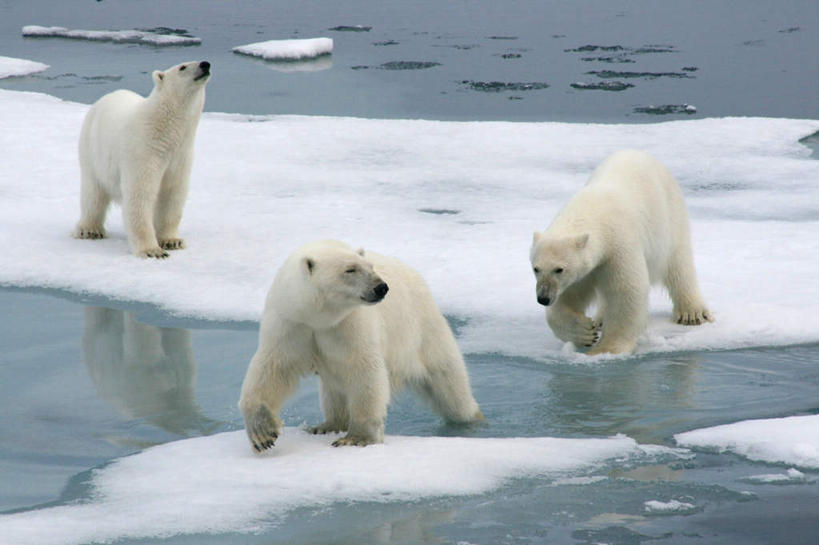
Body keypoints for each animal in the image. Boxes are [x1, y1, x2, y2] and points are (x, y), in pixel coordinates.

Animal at [73, 60, 211, 256]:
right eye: (182, 67)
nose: (206, 64)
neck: (164, 132)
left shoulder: (180, 156)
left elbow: (173, 194)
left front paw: (172, 241)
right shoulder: (143, 151)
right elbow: (140, 194)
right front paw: (153, 251)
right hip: (92, 151)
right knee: (93, 193)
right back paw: (90, 229)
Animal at [239, 239, 480, 450]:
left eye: (370, 266)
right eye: (350, 270)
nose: (381, 287)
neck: (319, 316)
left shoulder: (349, 323)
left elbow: (363, 369)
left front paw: (356, 438)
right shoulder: (291, 321)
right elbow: (274, 367)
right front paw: (262, 433)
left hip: (422, 329)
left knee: (450, 386)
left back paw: (473, 417)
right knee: (333, 388)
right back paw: (326, 425)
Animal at [532, 149, 712, 354]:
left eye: (559, 269)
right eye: (536, 268)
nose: (543, 298)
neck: (594, 211)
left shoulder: (618, 244)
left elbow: (626, 292)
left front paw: (606, 348)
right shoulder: (586, 268)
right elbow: (569, 296)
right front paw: (584, 332)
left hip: (670, 218)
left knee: (679, 263)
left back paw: (691, 313)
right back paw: (600, 318)